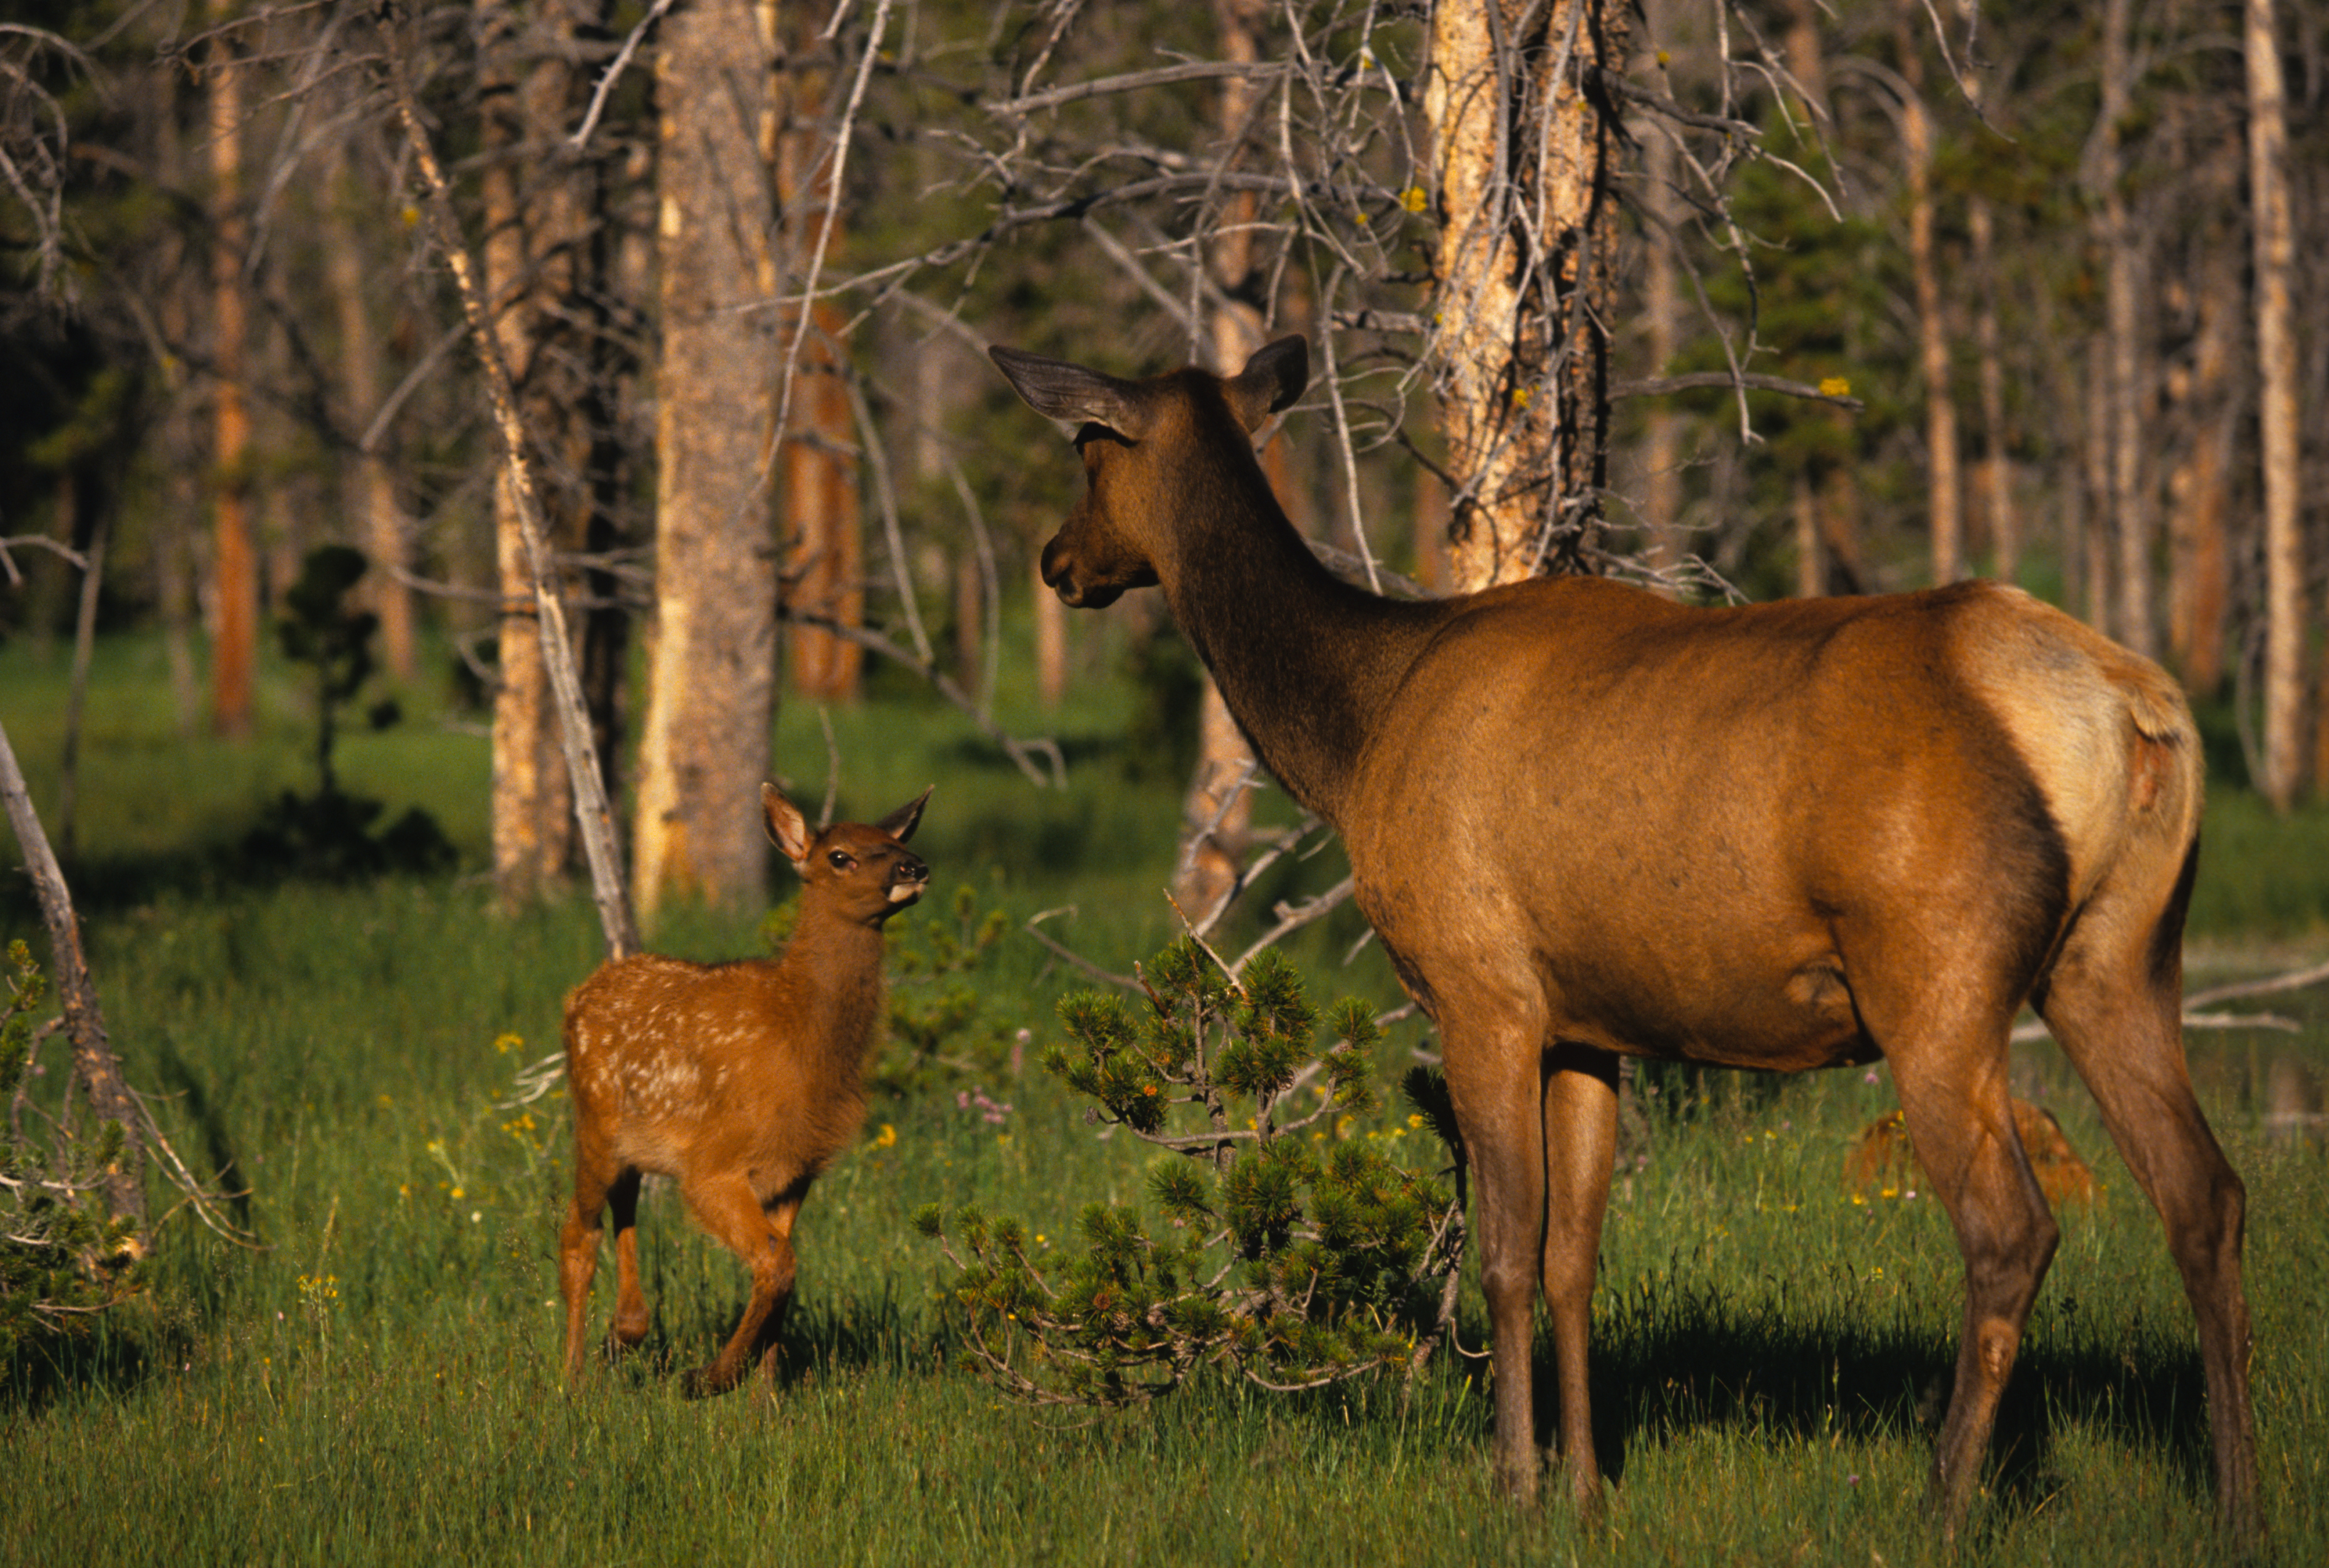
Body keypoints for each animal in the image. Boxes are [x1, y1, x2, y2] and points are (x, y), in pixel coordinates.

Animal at [559, 782, 931, 1398]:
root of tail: (578, 995)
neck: (803, 1042)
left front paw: (764, 1398)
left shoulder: (796, 1170)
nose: (915, 866)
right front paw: (708, 1378)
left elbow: (782, 1270)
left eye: (894, 841)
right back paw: (574, 1376)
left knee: (624, 1205)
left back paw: (625, 1331)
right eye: (841, 856)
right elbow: (779, 1264)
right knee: (577, 1234)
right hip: (593, 1126)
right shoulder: (714, 1163)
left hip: (632, 1143)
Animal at [997, 335, 2254, 1537]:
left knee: (2010, 1230)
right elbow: (1573, 1260)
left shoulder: (1481, 989)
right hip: (2118, 959)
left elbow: (1505, 1253)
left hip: (1934, 973)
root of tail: (2134, 709)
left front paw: (1512, 1484)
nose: (1056, 560)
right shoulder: (1586, 1024)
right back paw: (2237, 1492)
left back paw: (1940, 1503)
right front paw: (1587, 1488)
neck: (1352, 734)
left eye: (1087, 451)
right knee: (2205, 1191)